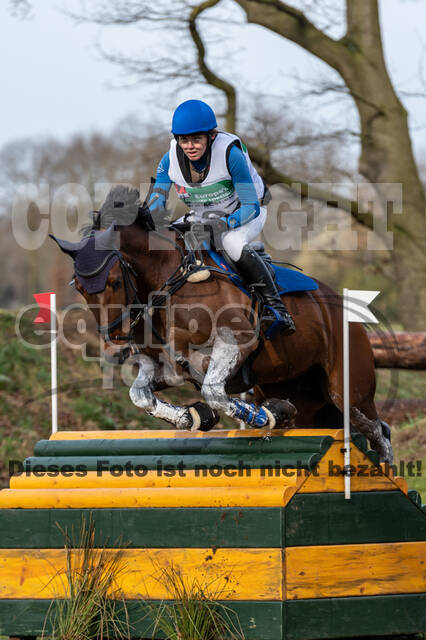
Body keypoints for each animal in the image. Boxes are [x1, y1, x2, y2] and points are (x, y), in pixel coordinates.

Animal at [51, 184, 394, 460]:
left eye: (113, 282)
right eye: (79, 288)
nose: (116, 345)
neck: (168, 280)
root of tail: (344, 309)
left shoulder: (234, 344)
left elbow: (214, 391)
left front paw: (270, 415)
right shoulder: (168, 368)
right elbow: (141, 396)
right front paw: (194, 417)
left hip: (349, 391)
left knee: (379, 431)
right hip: (300, 391)